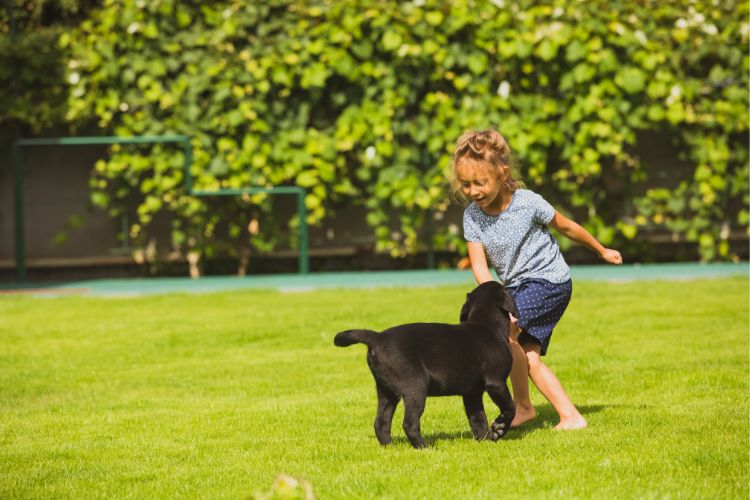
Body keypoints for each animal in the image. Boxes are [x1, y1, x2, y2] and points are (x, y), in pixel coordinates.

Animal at [336, 282, 520, 450]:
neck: (487, 326)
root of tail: (378, 338)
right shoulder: (496, 382)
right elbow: (510, 407)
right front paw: (499, 429)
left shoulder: (472, 393)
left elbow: (478, 419)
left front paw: (485, 439)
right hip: (416, 388)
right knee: (409, 423)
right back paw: (424, 447)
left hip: (386, 391)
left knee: (381, 422)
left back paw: (390, 447)